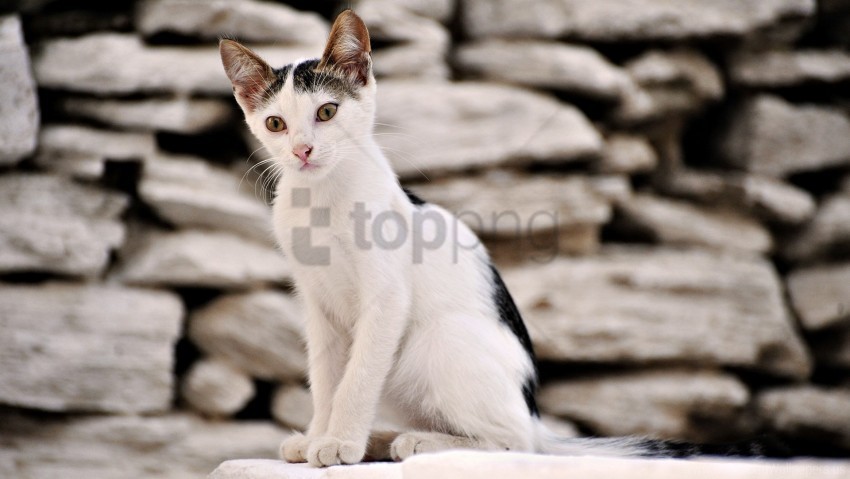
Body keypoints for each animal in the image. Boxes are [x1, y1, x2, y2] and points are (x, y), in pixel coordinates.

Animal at [219, 10, 780, 468]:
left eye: (328, 112)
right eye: (275, 123)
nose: (302, 150)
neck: (323, 198)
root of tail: (534, 413)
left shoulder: (386, 299)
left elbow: (355, 381)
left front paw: (339, 443)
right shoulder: (318, 306)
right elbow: (326, 378)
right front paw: (319, 435)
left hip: (436, 342)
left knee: (515, 442)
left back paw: (415, 443)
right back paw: (385, 438)